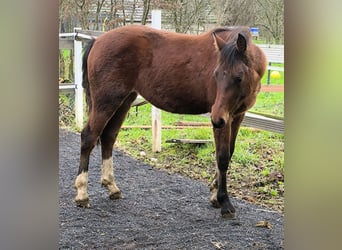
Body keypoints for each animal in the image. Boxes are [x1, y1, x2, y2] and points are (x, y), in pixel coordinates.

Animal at [75, 24, 268, 218]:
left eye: (238, 77)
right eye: (216, 75)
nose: (216, 119)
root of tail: (98, 40)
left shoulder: (236, 116)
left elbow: (230, 152)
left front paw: (215, 195)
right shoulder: (224, 119)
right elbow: (222, 157)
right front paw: (225, 202)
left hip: (124, 101)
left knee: (108, 137)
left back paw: (112, 187)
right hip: (106, 101)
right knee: (89, 137)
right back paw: (82, 194)